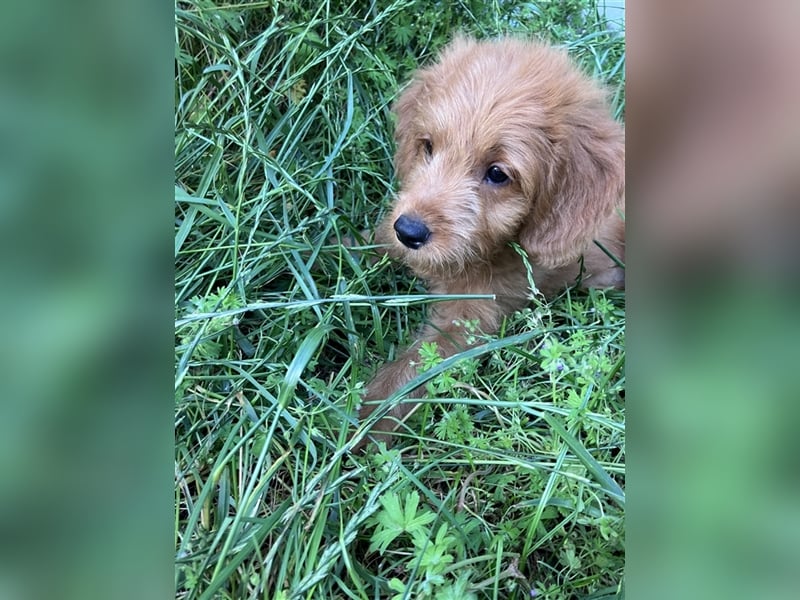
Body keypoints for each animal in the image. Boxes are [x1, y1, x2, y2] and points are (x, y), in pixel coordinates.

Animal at [356, 35, 624, 446]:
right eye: (428, 146)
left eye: (497, 174)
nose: (410, 231)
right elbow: (360, 245)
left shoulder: (469, 322)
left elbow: (410, 374)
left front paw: (358, 427)